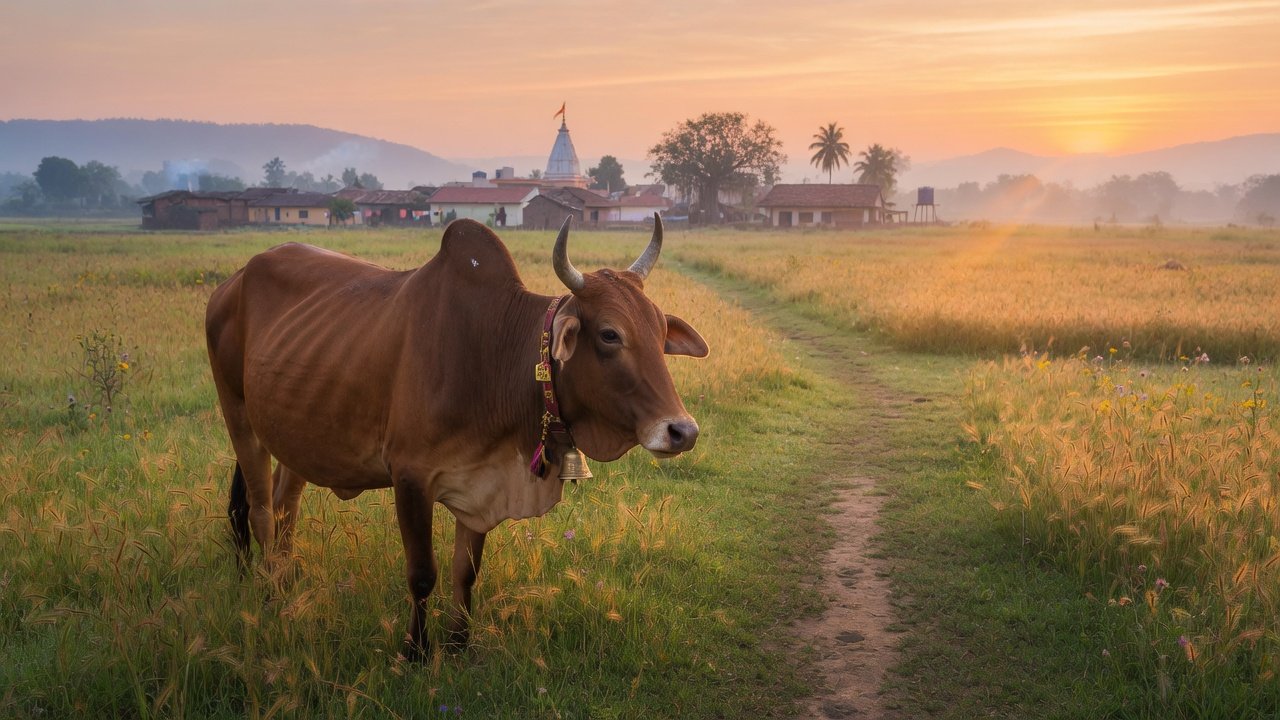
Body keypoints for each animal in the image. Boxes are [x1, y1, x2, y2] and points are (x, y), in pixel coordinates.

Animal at [205, 215, 708, 659]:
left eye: (660, 332)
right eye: (609, 335)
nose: (681, 431)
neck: (493, 352)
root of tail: (233, 281)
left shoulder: (481, 480)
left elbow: (465, 571)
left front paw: (459, 644)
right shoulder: (410, 477)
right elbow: (422, 574)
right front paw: (415, 652)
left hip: (298, 432)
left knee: (285, 506)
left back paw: (287, 581)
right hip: (238, 415)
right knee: (260, 511)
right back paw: (270, 596)